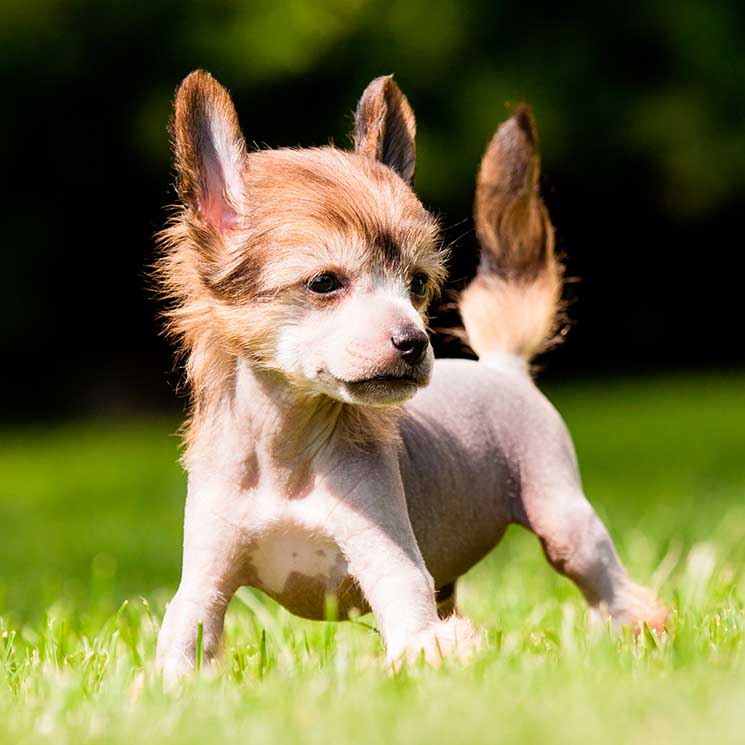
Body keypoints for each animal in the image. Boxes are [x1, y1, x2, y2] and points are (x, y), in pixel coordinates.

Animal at [154, 70, 664, 680]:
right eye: (324, 283)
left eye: (417, 285)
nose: (414, 341)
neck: (287, 453)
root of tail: (502, 368)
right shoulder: (205, 582)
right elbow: (184, 638)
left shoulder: (391, 564)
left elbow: (415, 629)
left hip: (566, 524)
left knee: (615, 591)